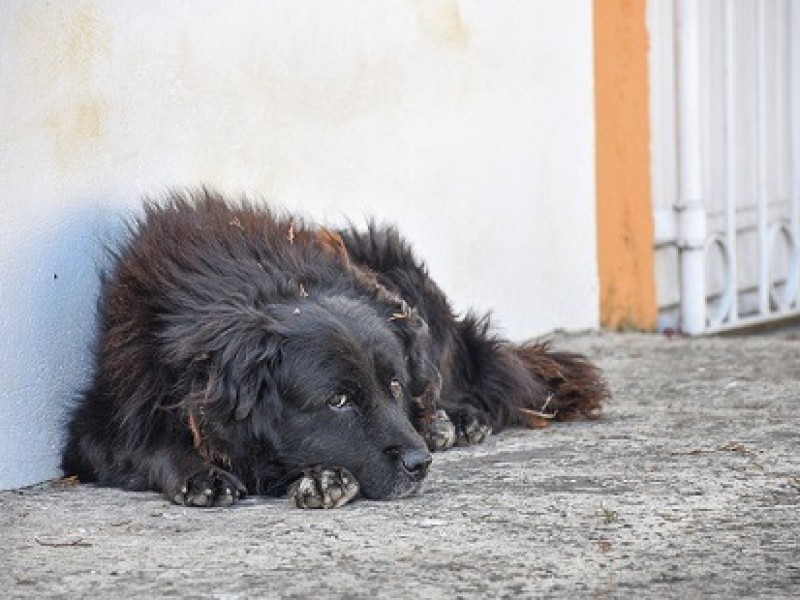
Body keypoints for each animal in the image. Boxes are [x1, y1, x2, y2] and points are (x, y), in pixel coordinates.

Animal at [61, 190, 608, 508]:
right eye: (337, 401)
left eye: (393, 386)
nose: (419, 465)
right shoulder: (94, 426)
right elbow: (146, 445)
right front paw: (201, 472)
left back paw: (451, 420)